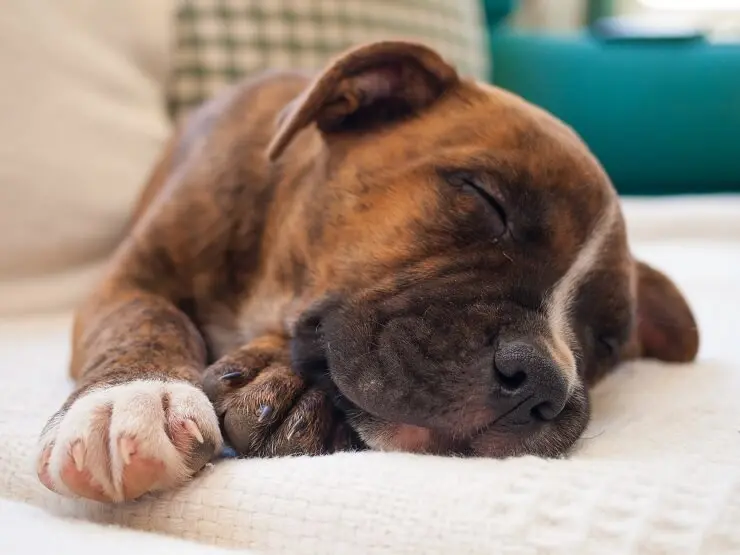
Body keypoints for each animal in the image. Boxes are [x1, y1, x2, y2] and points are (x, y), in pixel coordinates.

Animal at [37, 41, 700, 504]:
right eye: (485, 198)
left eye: (606, 343)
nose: (543, 382)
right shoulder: (127, 281)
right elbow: (144, 320)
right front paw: (131, 400)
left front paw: (290, 382)